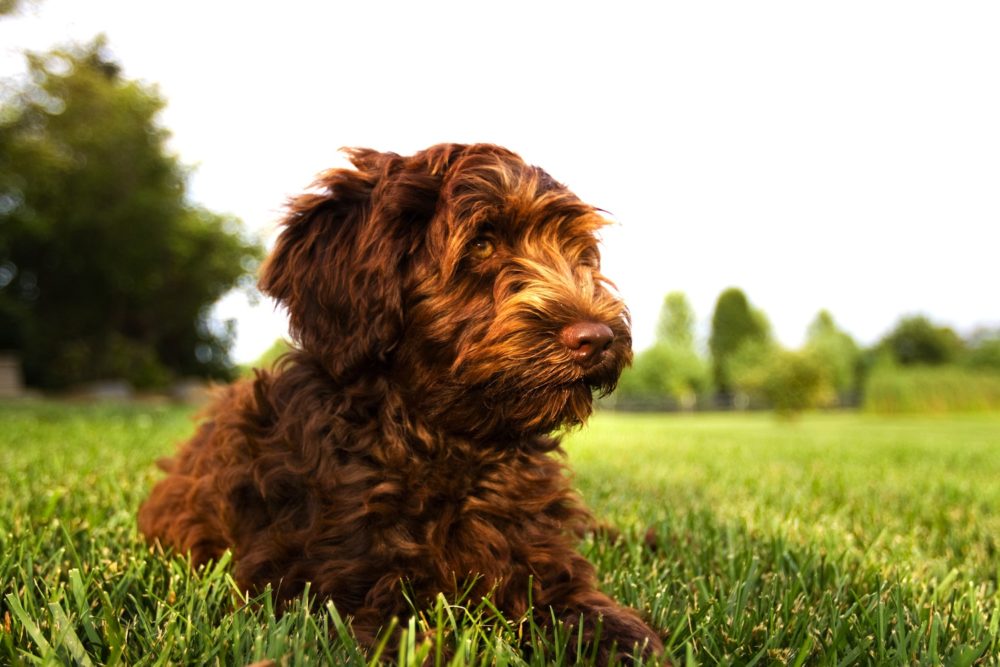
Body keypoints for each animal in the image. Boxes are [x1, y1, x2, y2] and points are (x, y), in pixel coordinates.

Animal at [135, 144, 664, 660]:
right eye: (481, 243)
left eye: (577, 251)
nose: (597, 338)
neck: (444, 440)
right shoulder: (339, 588)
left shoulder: (538, 554)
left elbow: (584, 605)